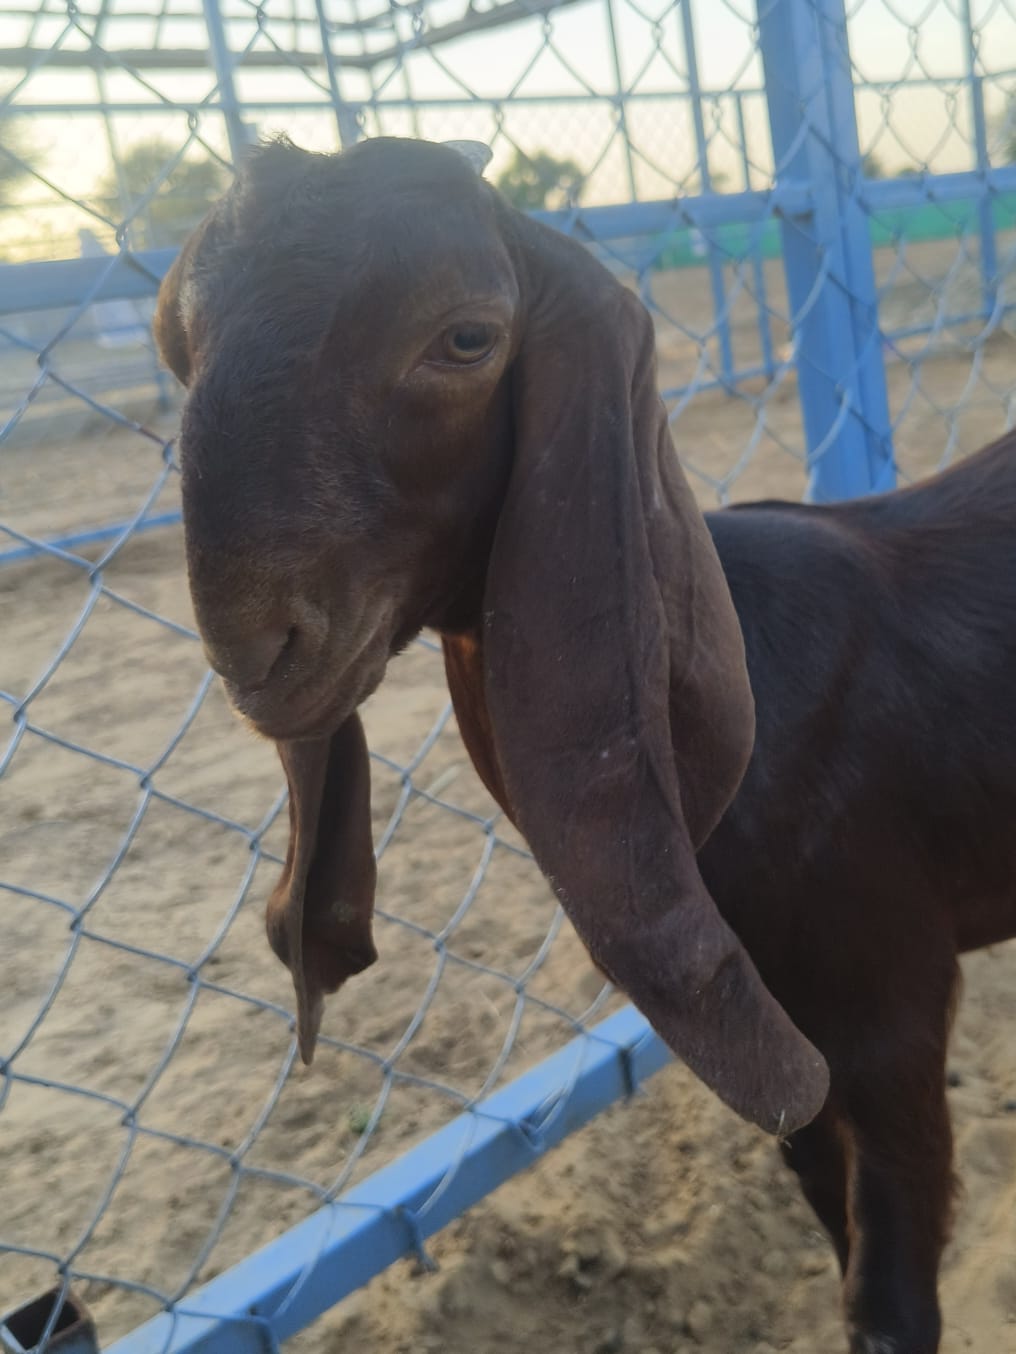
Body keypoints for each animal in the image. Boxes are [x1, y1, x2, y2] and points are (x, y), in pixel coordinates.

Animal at [153, 135, 1016, 1354]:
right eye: (172, 341)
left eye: (468, 336)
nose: (256, 648)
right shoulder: (785, 1024)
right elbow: (822, 1196)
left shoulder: (889, 1000)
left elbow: (886, 1300)